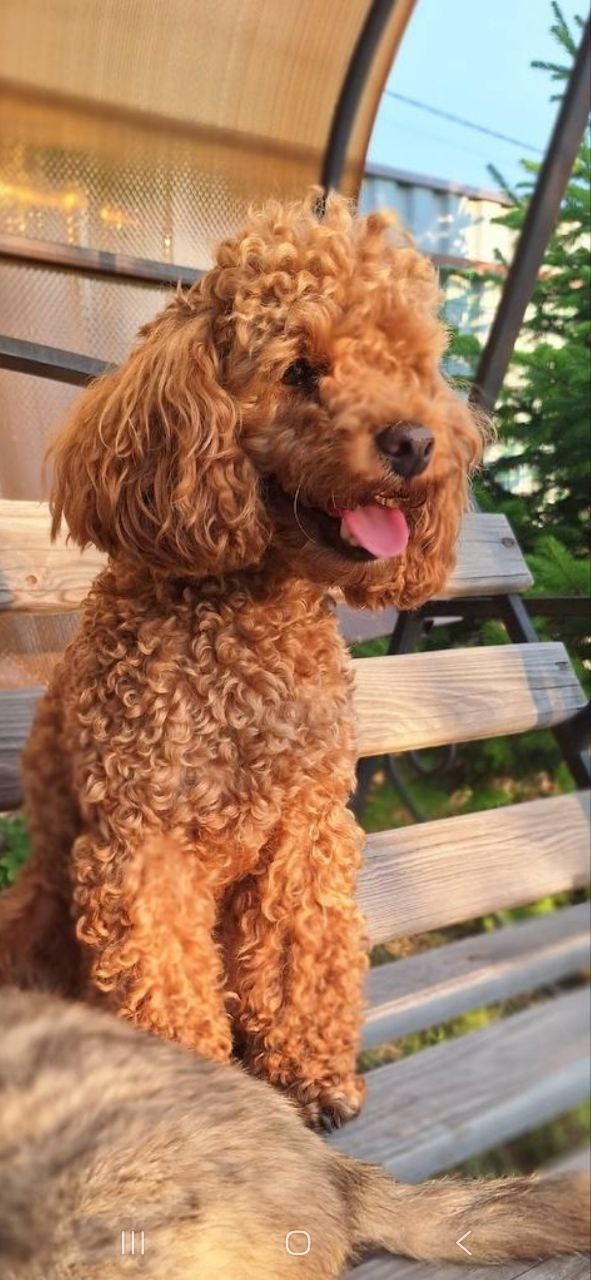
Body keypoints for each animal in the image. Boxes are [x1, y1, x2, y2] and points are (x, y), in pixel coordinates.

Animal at [0, 192, 484, 1129]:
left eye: (409, 365)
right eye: (300, 370)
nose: (413, 441)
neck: (245, 628)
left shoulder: (304, 828)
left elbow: (305, 951)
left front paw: (311, 1075)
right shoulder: (141, 844)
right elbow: (164, 982)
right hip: (40, 906)